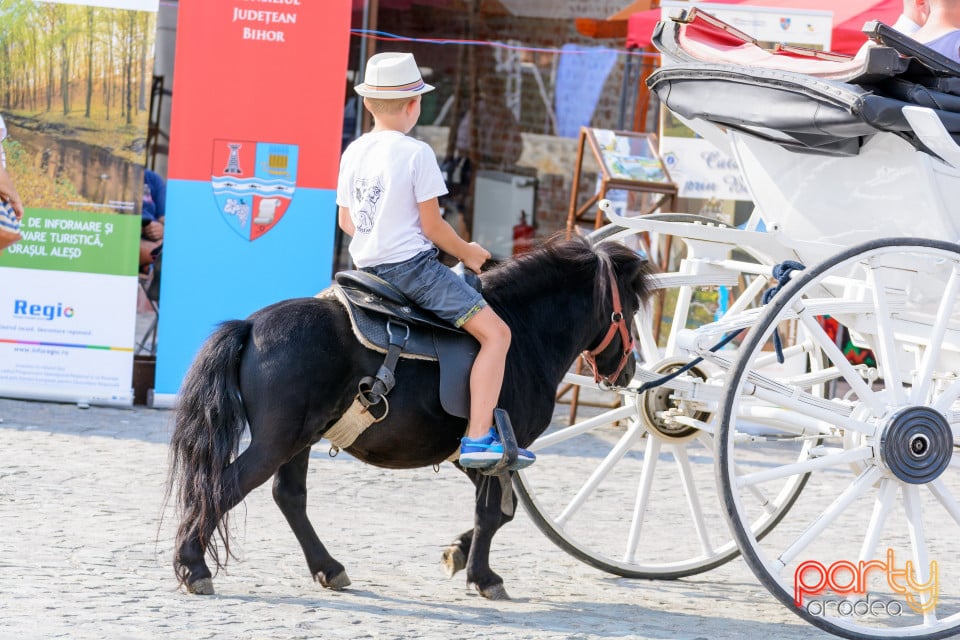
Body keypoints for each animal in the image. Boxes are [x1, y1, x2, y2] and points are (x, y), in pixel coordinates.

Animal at [169, 235, 656, 600]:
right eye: (631, 310)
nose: (627, 370)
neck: (523, 332)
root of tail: (250, 325)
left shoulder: (474, 455)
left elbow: (504, 511)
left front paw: (459, 553)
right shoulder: (498, 448)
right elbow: (492, 514)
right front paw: (483, 576)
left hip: (299, 440)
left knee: (288, 497)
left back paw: (328, 567)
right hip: (278, 441)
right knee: (224, 487)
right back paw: (194, 567)